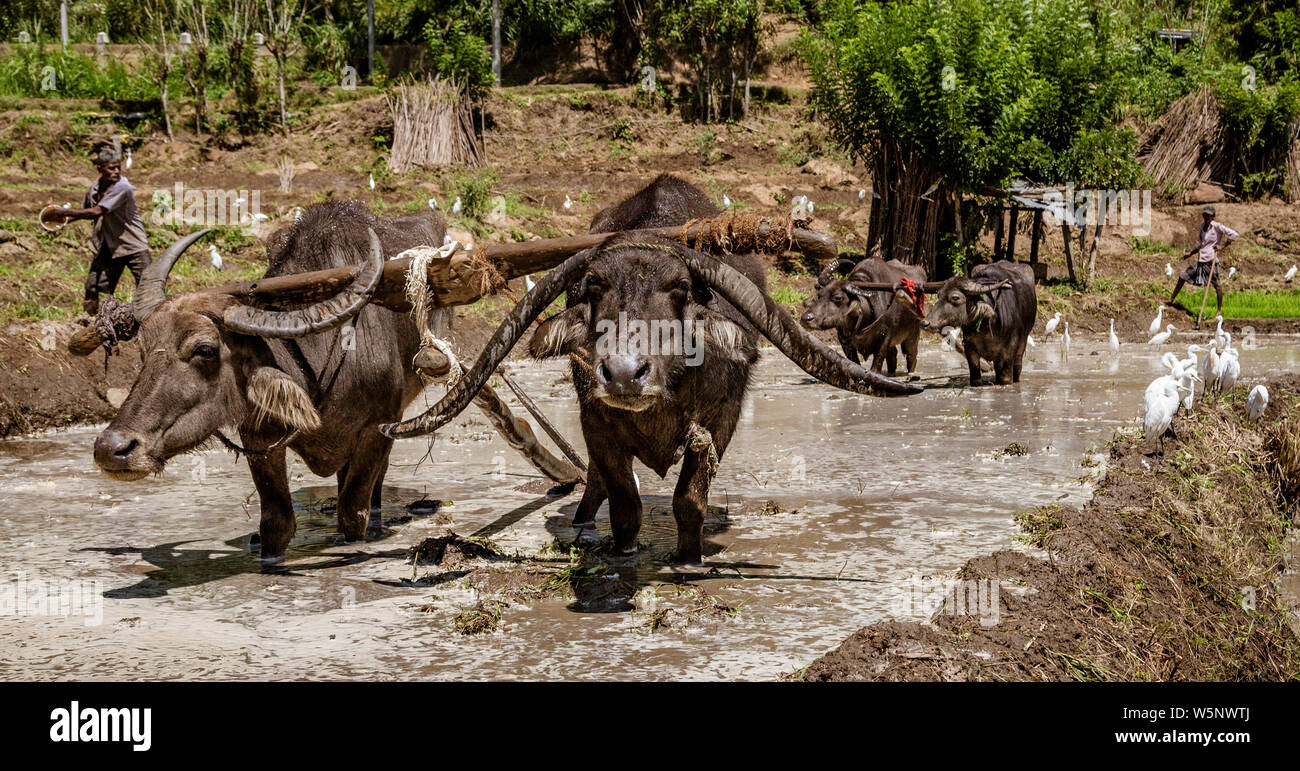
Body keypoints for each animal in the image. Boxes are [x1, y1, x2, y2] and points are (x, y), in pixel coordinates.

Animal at [94, 198, 444, 559]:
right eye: (143, 350)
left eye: (204, 349)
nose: (111, 448)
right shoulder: (259, 436)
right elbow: (276, 521)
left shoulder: (379, 426)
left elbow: (353, 509)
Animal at [795, 256, 930, 371]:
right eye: (819, 295)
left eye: (837, 297)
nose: (806, 318)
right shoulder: (845, 341)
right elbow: (854, 362)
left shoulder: (885, 339)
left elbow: (877, 363)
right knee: (893, 355)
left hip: (913, 334)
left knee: (911, 356)